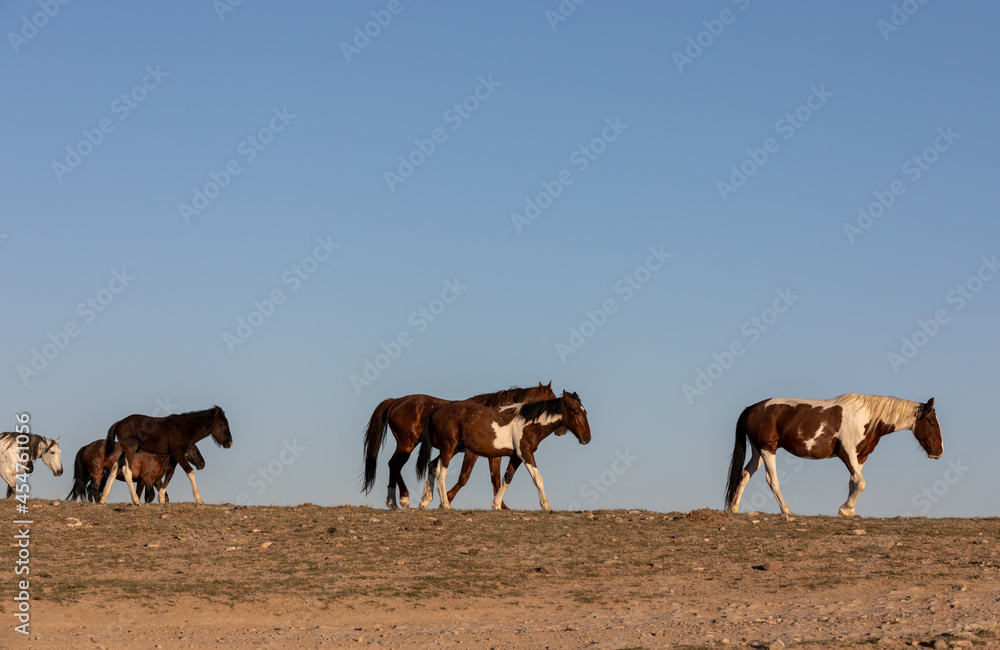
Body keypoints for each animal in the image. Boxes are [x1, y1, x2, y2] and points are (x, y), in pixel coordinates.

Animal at [67, 440, 205, 503]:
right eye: (193, 447)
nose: (202, 464)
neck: (155, 455)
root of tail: (87, 446)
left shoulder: (153, 480)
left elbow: (162, 496)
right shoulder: (147, 478)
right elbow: (149, 496)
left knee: (83, 489)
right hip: (96, 474)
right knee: (93, 489)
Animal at [98, 406, 232, 505]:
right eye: (221, 423)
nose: (229, 443)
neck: (184, 428)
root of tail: (119, 423)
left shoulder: (173, 456)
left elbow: (169, 474)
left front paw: (161, 499)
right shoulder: (178, 453)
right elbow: (190, 471)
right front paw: (199, 499)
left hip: (125, 452)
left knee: (115, 468)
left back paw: (103, 499)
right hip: (130, 450)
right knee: (127, 471)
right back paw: (136, 501)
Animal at [362, 382, 556, 509]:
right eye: (552, 399)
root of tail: (396, 401)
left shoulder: (492, 454)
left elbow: (495, 478)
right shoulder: (477, 453)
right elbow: (465, 477)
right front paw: (445, 500)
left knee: (393, 465)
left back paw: (394, 501)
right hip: (407, 444)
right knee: (395, 465)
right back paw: (401, 500)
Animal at [415, 391, 591, 511]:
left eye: (585, 411)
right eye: (576, 411)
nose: (587, 437)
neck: (528, 423)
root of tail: (439, 409)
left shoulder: (516, 456)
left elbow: (507, 478)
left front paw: (497, 505)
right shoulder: (526, 453)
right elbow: (537, 478)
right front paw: (546, 506)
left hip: (453, 449)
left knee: (432, 465)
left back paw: (425, 500)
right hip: (448, 448)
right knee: (441, 472)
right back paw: (445, 504)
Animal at [725, 394, 942, 518]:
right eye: (932, 423)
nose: (938, 452)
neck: (866, 418)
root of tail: (750, 408)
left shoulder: (861, 457)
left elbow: (854, 482)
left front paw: (849, 511)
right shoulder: (848, 454)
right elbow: (861, 483)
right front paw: (845, 509)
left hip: (758, 451)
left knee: (745, 474)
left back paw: (734, 509)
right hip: (768, 449)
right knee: (772, 480)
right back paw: (787, 511)